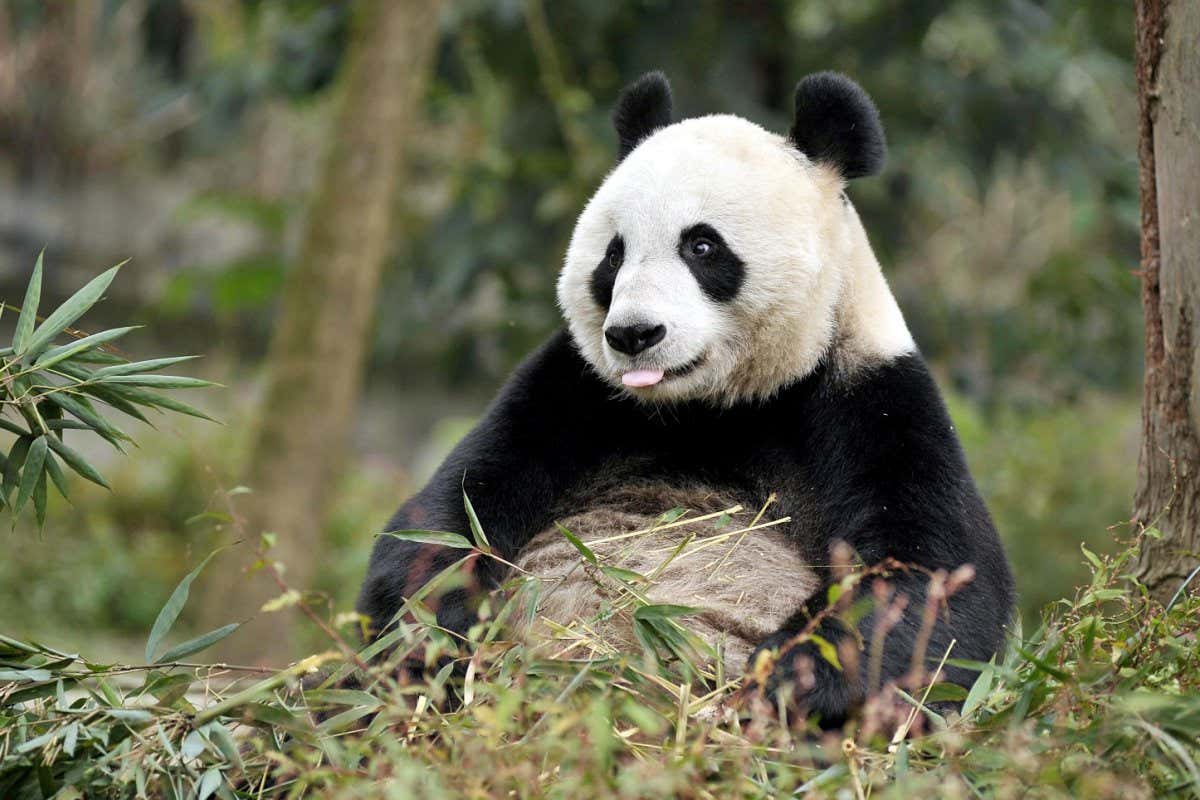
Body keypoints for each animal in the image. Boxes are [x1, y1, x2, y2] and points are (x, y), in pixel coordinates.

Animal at [358, 71, 1015, 725]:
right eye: (614, 254)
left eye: (701, 246)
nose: (634, 335)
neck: (710, 407)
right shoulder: (571, 393)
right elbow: (446, 519)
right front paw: (427, 639)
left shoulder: (868, 400)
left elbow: (934, 581)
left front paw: (783, 682)